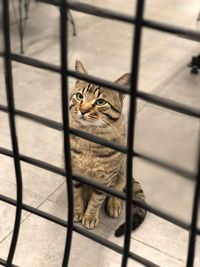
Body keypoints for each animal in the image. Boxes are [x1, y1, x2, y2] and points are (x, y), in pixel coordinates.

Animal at [69, 60, 146, 237]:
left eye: (100, 102)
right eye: (79, 96)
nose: (83, 110)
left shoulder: (105, 179)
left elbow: (97, 200)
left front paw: (90, 217)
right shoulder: (75, 172)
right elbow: (77, 195)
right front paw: (78, 211)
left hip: (122, 169)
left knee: (118, 188)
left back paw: (114, 204)